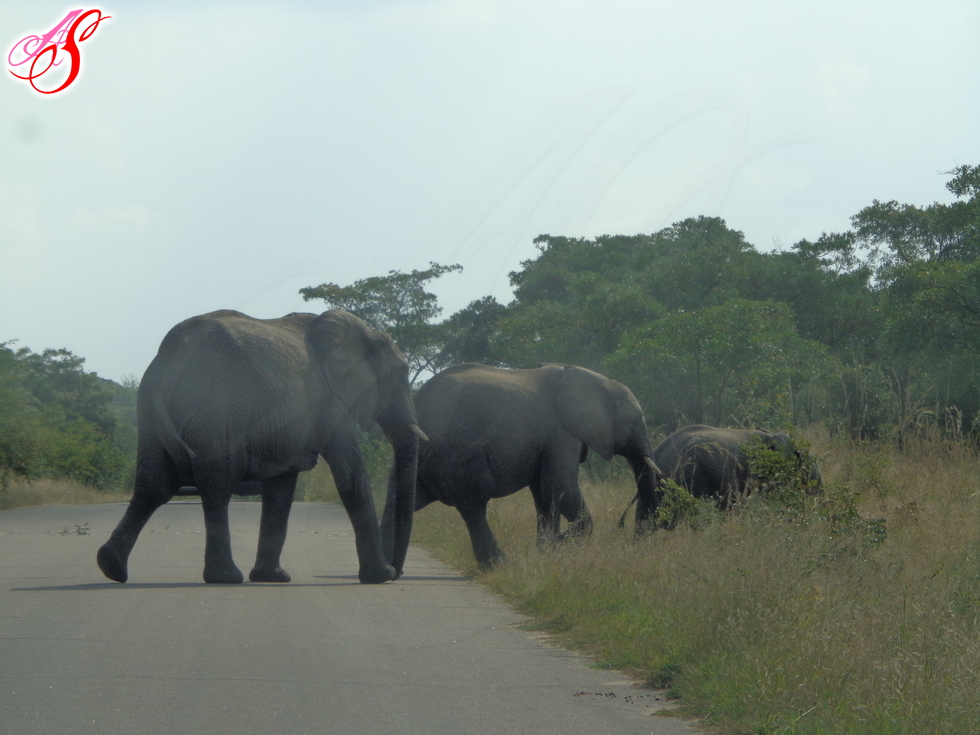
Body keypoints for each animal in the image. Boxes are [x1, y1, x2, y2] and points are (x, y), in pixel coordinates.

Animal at [97, 309, 425, 585]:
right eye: (400, 375)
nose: (398, 572)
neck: (363, 330)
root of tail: (172, 355)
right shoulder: (331, 400)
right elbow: (351, 476)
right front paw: (380, 577)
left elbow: (281, 488)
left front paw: (272, 578)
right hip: (216, 407)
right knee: (216, 484)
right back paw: (225, 577)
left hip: (149, 411)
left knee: (153, 485)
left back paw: (111, 566)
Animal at [381, 363, 659, 570]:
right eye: (637, 420)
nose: (630, 535)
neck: (593, 378)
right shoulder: (561, 433)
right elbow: (557, 487)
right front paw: (553, 548)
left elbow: (544, 497)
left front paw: (546, 552)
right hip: (457, 455)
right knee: (473, 507)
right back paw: (501, 565)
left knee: (402, 500)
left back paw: (386, 568)